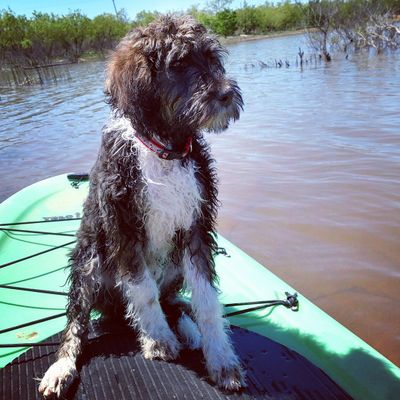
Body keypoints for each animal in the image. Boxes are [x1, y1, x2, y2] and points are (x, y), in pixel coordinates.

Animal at [38, 15, 244, 398]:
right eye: (179, 63)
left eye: (211, 57)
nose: (225, 94)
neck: (164, 149)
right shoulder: (123, 226)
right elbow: (143, 290)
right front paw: (158, 341)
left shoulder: (196, 227)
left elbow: (207, 300)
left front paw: (222, 360)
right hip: (89, 259)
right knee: (78, 320)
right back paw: (61, 367)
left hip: (175, 264)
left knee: (174, 304)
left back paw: (189, 330)